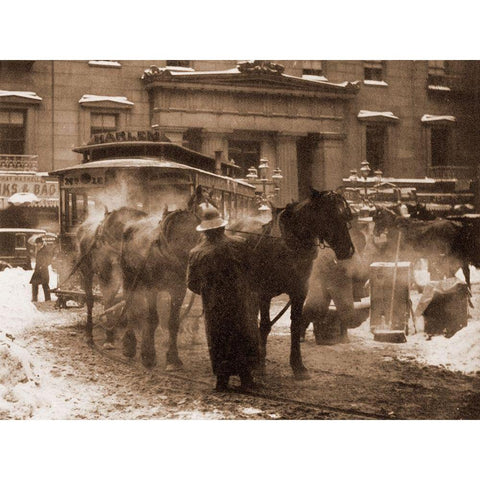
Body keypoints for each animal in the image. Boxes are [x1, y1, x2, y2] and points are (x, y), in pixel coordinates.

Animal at [75, 208, 148, 344]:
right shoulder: (106, 273)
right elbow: (109, 299)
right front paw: (110, 337)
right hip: (86, 269)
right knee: (90, 299)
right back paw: (89, 333)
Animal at [231, 188, 354, 378]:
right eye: (330, 215)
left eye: (345, 216)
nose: (348, 250)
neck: (288, 246)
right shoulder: (264, 293)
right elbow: (265, 325)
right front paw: (260, 365)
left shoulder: (299, 293)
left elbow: (295, 325)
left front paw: (298, 366)